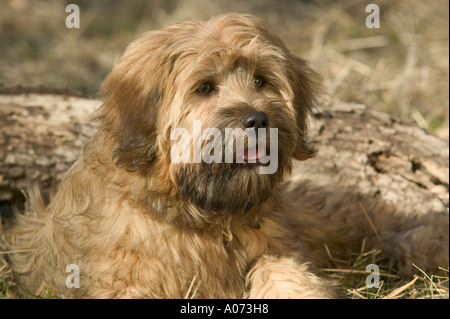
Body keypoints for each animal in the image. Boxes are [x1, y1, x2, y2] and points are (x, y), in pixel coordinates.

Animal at [8, 13, 448, 300]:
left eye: (261, 80)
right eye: (204, 87)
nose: (257, 118)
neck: (204, 219)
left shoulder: (277, 244)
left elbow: (278, 267)